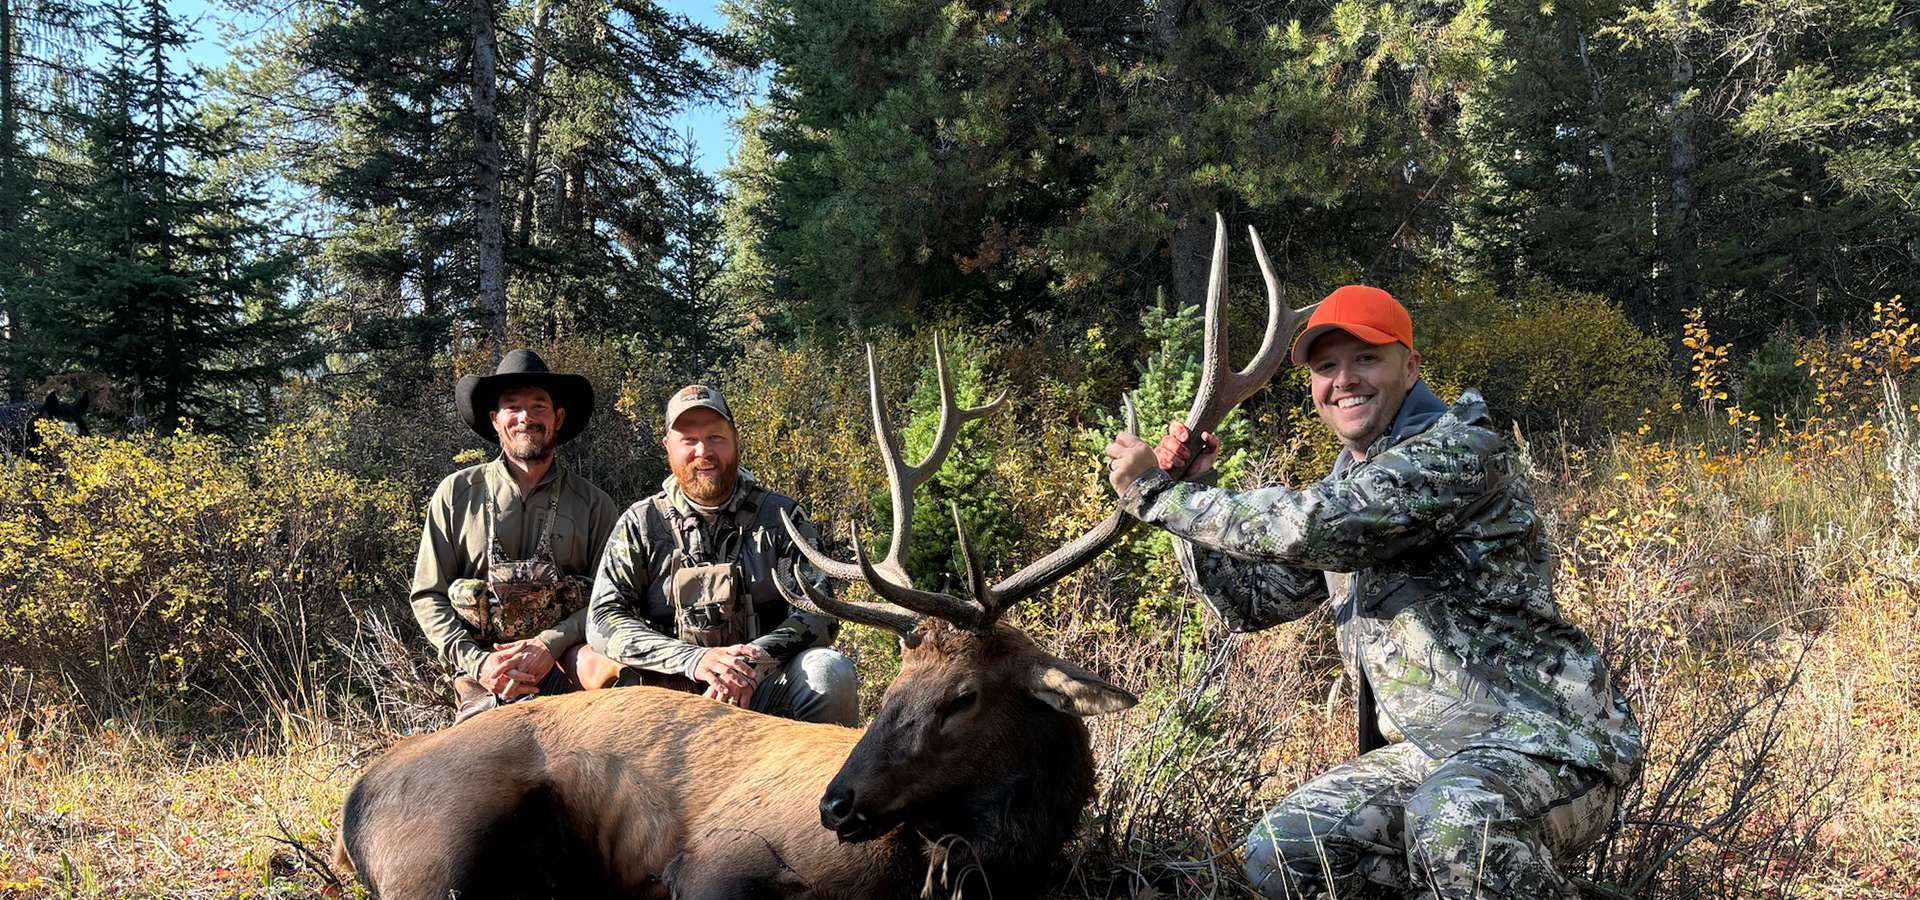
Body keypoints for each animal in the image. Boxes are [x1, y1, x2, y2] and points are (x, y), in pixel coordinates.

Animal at [332, 214, 1316, 900]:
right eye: (895, 688)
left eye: (963, 697)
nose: (836, 803)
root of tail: (358, 795)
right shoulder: (713, 865)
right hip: (442, 847)